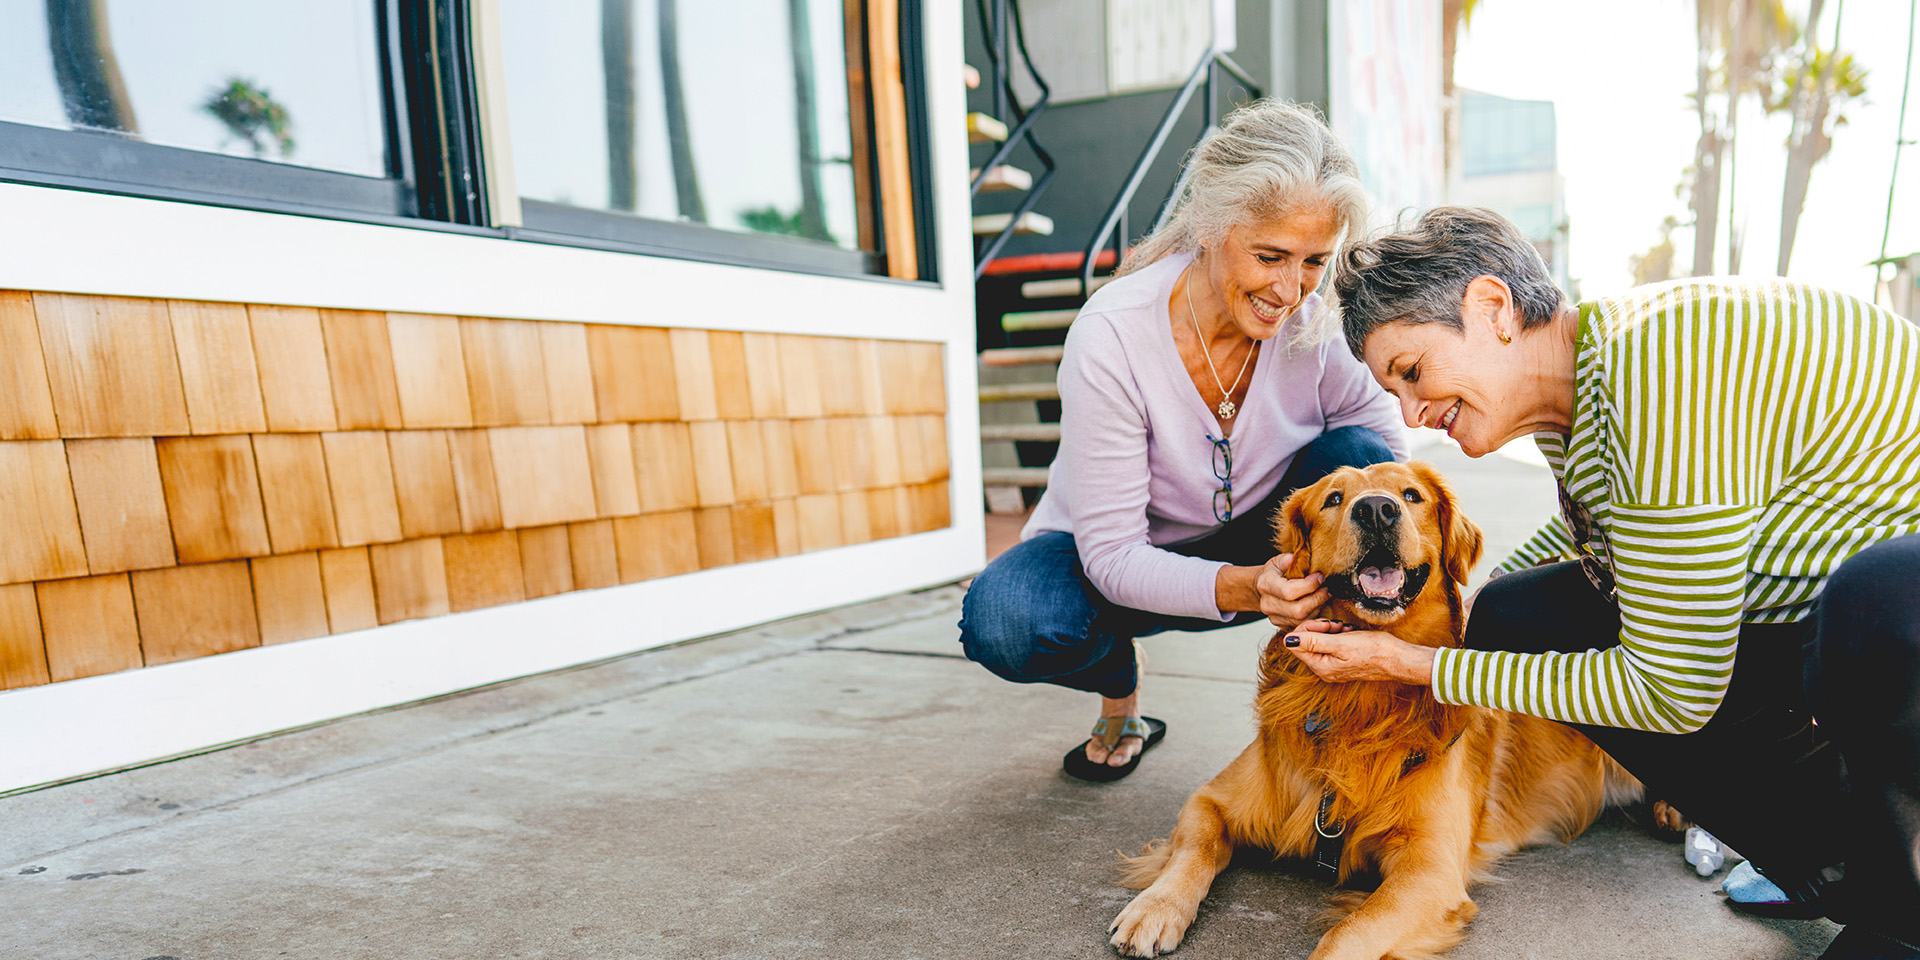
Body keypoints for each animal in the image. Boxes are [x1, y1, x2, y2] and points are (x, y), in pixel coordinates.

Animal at [1113, 460, 1635, 956]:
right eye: (1333, 499)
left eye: (1411, 494)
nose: (1377, 510)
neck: (1362, 702)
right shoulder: (1212, 800)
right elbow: (1196, 847)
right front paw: (1154, 909)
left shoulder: (1429, 870)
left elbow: (1347, 934)